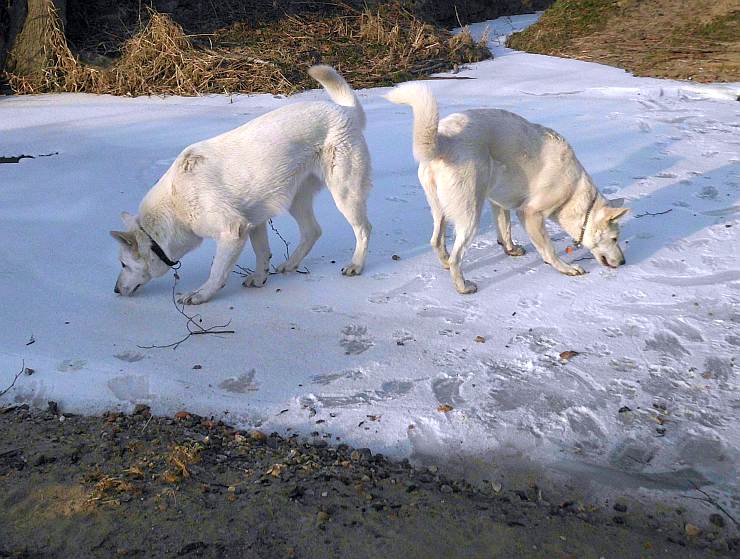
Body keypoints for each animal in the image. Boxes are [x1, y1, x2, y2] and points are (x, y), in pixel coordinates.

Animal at [111, 65, 370, 306]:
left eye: (123, 264)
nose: (115, 290)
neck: (175, 206)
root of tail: (346, 111)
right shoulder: (254, 223)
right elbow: (262, 253)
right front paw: (259, 278)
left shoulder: (232, 231)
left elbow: (217, 272)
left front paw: (200, 295)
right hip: (295, 200)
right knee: (313, 231)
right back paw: (290, 264)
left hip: (344, 194)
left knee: (364, 230)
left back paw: (356, 265)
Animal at [384, 83, 628, 296]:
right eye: (615, 238)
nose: (624, 262)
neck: (575, 193)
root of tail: (444, 141)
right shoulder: (530, 213)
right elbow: (548, 249)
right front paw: (565, 268)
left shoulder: (499, 202)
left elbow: (505, 229)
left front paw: (510, 249)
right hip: (471, 215)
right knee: (456, 256)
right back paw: (463, 287)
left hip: (441, 210)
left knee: (436, 241)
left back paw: (445, 264)